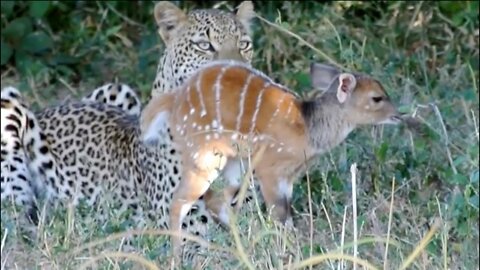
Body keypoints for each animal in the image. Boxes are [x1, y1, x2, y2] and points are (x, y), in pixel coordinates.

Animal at [1, 0, 256, 266]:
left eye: (244, 44)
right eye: (204, 45)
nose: (237, 74)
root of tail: (46, 110)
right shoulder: (187, 227)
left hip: (117, 89)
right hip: (9, 103)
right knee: (16, 216)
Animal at [140, 60, 402, 258]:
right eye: (377, 98)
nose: (399, 115)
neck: (308, 128)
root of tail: (173, 99)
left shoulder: (287, 177)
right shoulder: (269, 171)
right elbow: (281, 214)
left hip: (233, 164)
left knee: (216, 200)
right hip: (204, 158)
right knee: (180, 203)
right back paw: (177, 258)